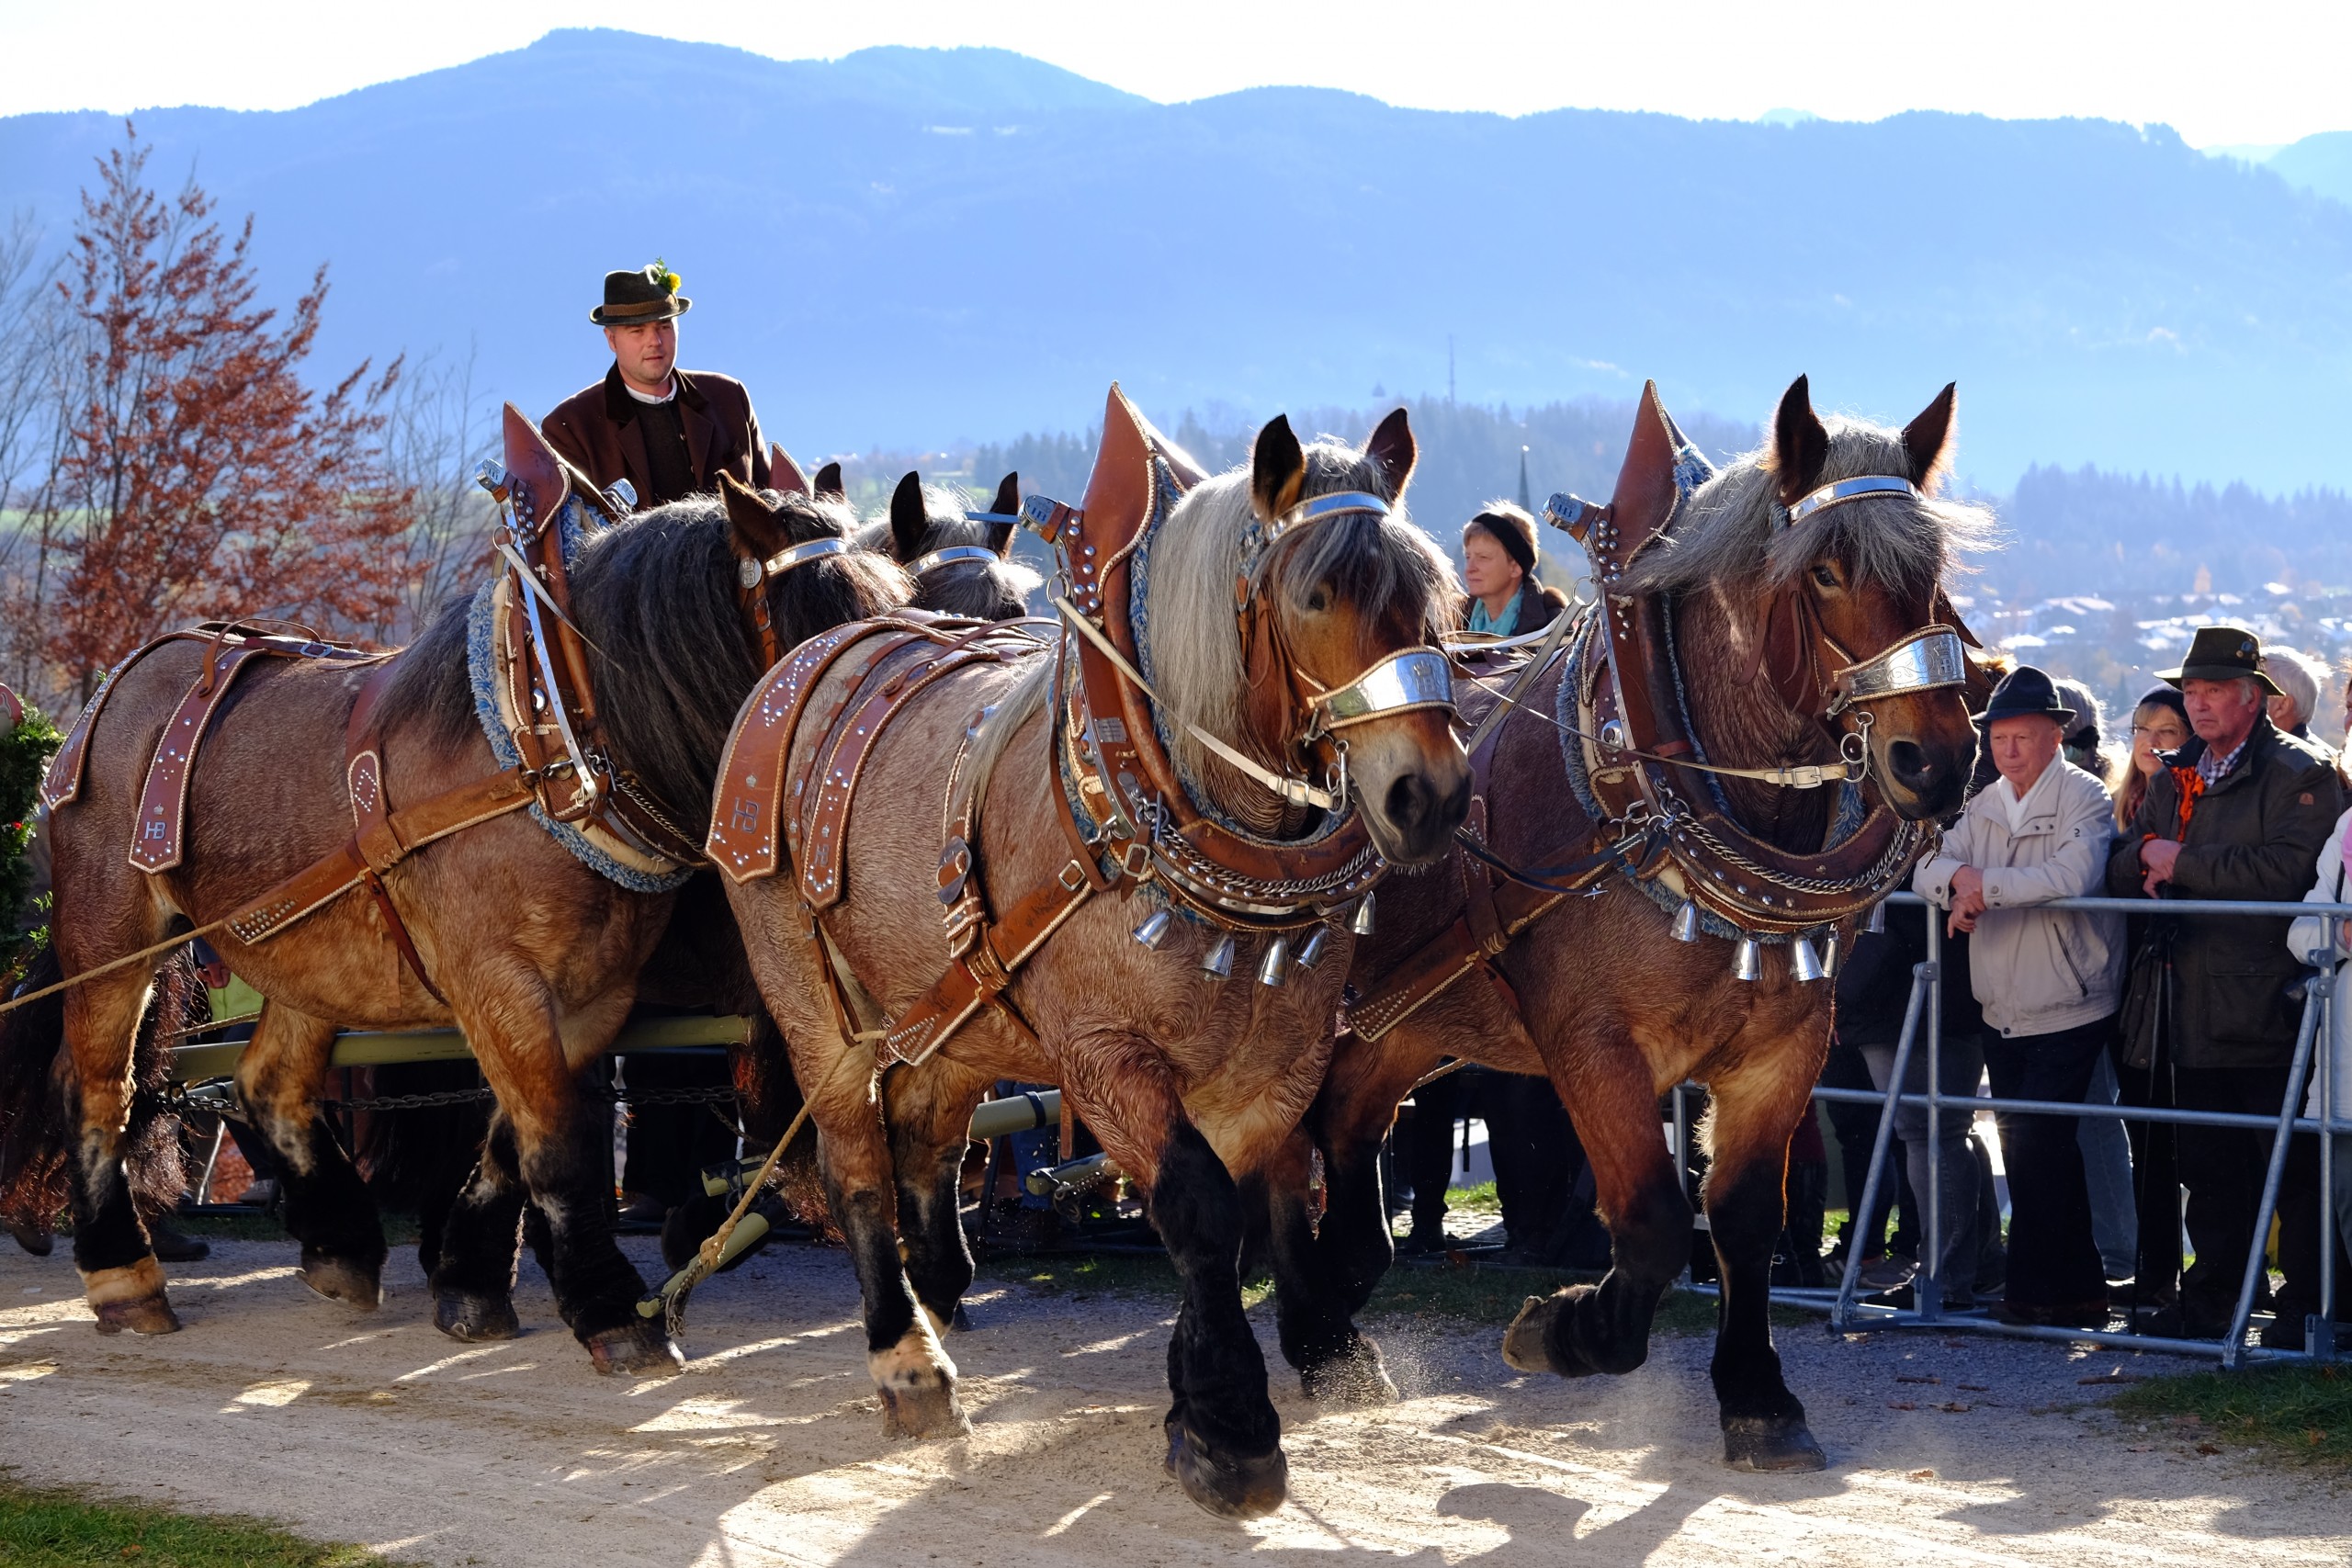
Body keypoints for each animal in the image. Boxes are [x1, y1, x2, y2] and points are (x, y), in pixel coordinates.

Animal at [706, 385, 1458, 1514]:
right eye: (1319, 593)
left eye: (1437, 596)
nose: (1431, 796)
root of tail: (811, 658)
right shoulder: (1103, 1059)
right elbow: (1196, 1209)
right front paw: (1229, 1428)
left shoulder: (1280, 1052)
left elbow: (1258, 1199)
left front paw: (1249, 1374)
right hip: (813, 1001)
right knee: (856, 1163)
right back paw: (905, 1357)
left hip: (953, 1017)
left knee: (929, 1136)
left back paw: (942, 1291)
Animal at [1270, 376, 1984, 1476]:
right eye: (1826, 571)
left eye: (1931, 570)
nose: (1939, 761)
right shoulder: (1591, 1043)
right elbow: (1650, 1220)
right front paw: (1565, 1329)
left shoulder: (1785, 1044)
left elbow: (1742, 1218)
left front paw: (1757, 1396)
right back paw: (1309, 1329)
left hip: (1399, 1028)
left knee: (1347, 1169)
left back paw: (1335, 1328)